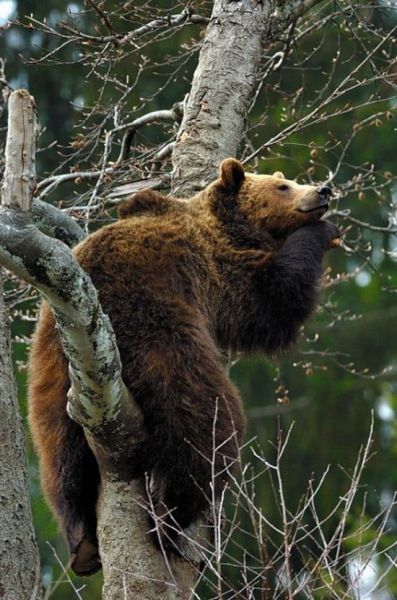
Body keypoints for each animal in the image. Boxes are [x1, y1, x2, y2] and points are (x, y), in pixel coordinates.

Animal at [27, 159, 338, 576]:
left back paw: (82, 543)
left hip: (52, 371)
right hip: (159, 335)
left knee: (61, 454)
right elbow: (272, 301)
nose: (322, 190)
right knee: (206, 424)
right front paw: (324, 232)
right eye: (283, 186)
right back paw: (171, 520)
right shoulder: (218, 270)